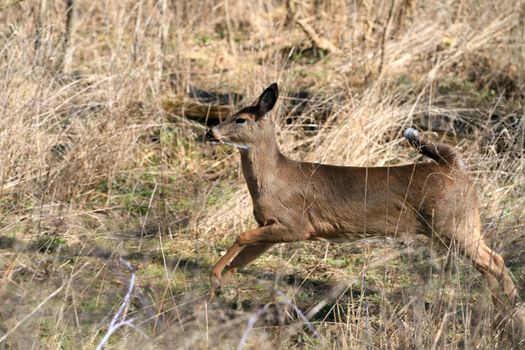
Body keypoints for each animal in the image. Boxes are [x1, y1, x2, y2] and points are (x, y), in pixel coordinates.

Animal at [205, 82, 520, 320]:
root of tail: (453, 166)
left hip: (451, 224)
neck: (274, 179)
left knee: (494, 260)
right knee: (488, 262)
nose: (210, 131)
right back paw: (500, 311)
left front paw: (213, 276)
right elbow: (241, 259)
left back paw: (512, 308)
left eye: (240, 119)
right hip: (466, 222)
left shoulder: (296, 225)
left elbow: (241, 235)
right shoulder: (271, 226)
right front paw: (214, 293)